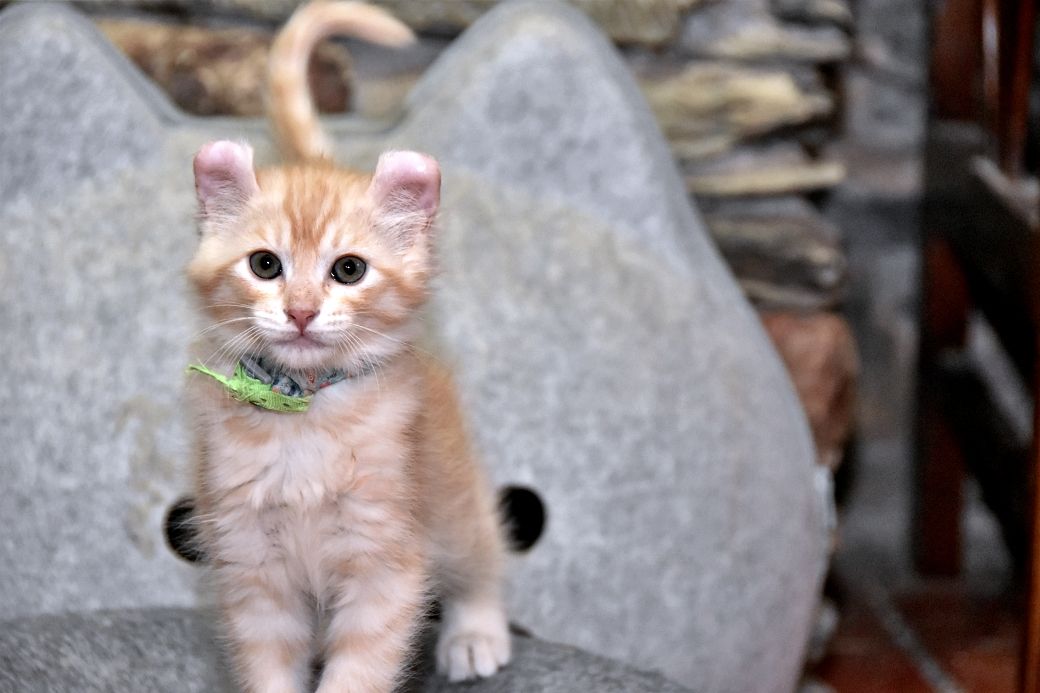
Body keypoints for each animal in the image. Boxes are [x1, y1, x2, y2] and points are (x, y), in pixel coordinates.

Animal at [185, 3, 511, 691]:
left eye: (349, 270)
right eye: (265, 264)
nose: (302, 311)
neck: (306, 419)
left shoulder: (387, 561)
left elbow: (358, 669)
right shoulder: (251, 570)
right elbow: (271, 667)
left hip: (451, 494)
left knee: (482, 553)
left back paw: (477, 631)